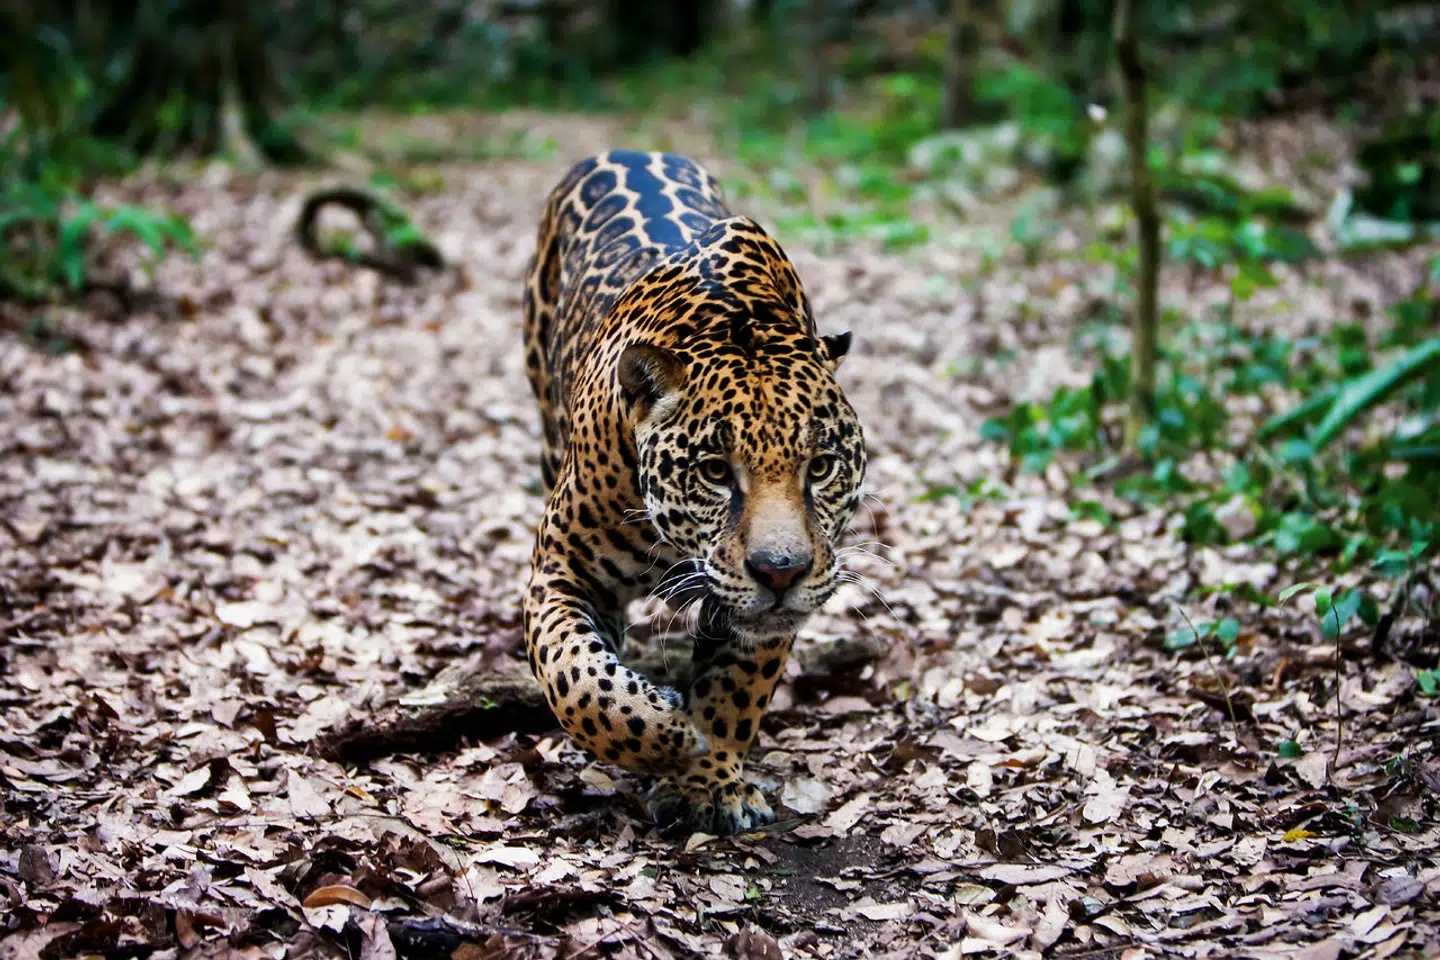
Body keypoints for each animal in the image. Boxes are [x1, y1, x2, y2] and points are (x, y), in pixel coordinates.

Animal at [520, 150, 866, 835]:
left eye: (820, 468)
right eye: (713, 471)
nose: (780, 571)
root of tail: (620, 151)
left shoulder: (762, 617)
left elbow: (735, 692)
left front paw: (708, 779)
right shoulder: (562, 569)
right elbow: (577, 679)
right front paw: (667, 732)